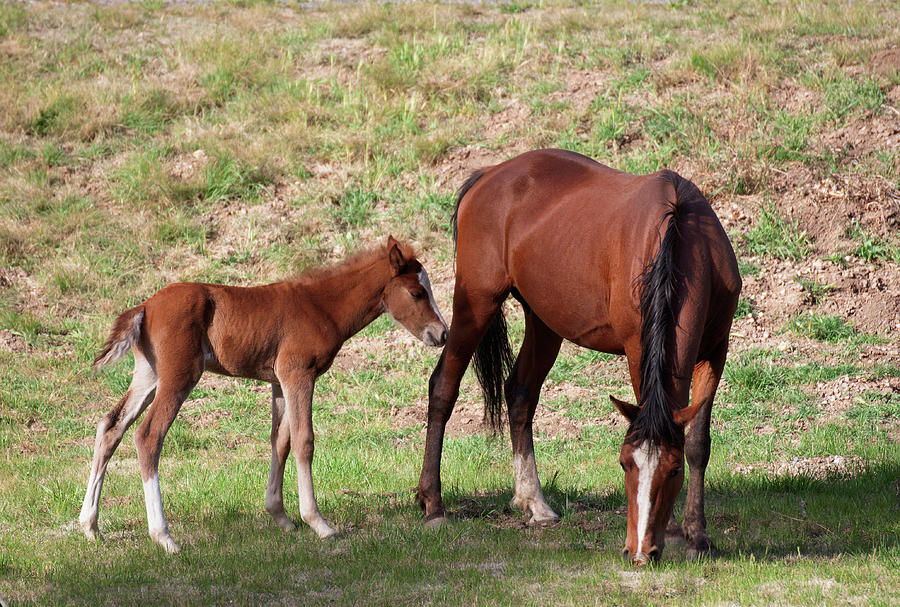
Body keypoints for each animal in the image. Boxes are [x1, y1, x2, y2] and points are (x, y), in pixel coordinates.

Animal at [82, 236, 448, 552]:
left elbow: (280, 440)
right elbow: (304, 440)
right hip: (179, 375)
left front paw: (281, 517)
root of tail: (145, 305)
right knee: (148, 436)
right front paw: (318, 523)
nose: (442, 333)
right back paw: (164, 536)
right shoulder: (298, 373)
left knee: (110, 427)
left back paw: (90, 525)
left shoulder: (278, 382)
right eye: (417, 293)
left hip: (148, 375)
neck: (321, 306)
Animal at [414, 151, 740, 564]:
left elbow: (698, 443)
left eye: (673, 471)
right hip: (476, 302)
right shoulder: (638, 347)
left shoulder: (715, 350)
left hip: (544, 321)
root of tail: (489, 175)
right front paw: (674, 532)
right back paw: (433, 504)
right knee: (444, 385)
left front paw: (697, 535)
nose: (638, 552)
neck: (680, 238)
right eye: (623, 464)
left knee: (519, 393)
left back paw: (534, 502)